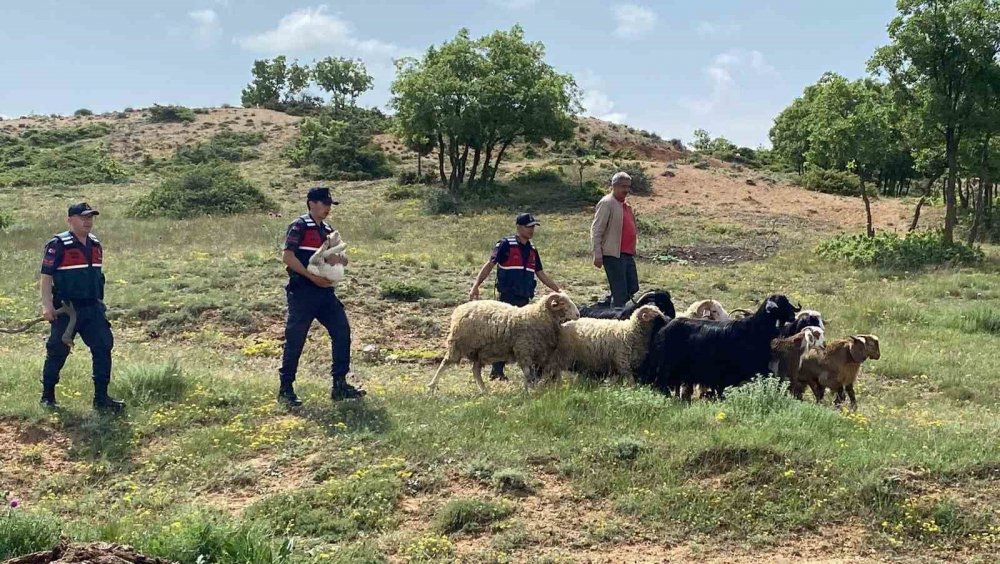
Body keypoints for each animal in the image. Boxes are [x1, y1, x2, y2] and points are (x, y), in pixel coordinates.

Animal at [426, 290, 584, 392]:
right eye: (563, 303)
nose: (578, 315)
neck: (539, 317)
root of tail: (459, 310)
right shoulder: (523, 350)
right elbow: (528, 373)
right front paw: (529, 390)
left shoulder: (539, 354)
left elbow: (539, 372)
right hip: (459, 344)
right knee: (445, 363)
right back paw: (432, 387)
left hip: (479, 352)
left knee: (475, 371)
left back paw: (484, 391)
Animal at [644, 294, 800, 398]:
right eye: (780, 304)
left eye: (787, 302)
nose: (793, 316)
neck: (755, 329)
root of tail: (663, 327)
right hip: (666, 365)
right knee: (661, 383)